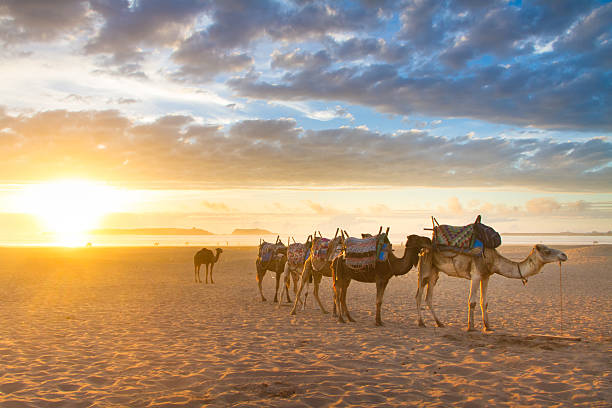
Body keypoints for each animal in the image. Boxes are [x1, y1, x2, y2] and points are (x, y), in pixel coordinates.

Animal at [416, 242, 568, 332]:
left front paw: (487, 327)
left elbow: (485, 302)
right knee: (419, 294)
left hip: (435, 271)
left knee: (429, 296)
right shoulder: (476, 274)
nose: (564, 255)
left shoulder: (486, 276)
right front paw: (471, 327)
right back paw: (421, 323)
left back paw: (439, 323)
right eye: (547, 251)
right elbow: (472, 302)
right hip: (425, 267)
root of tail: (422, 249)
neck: (494, 260)